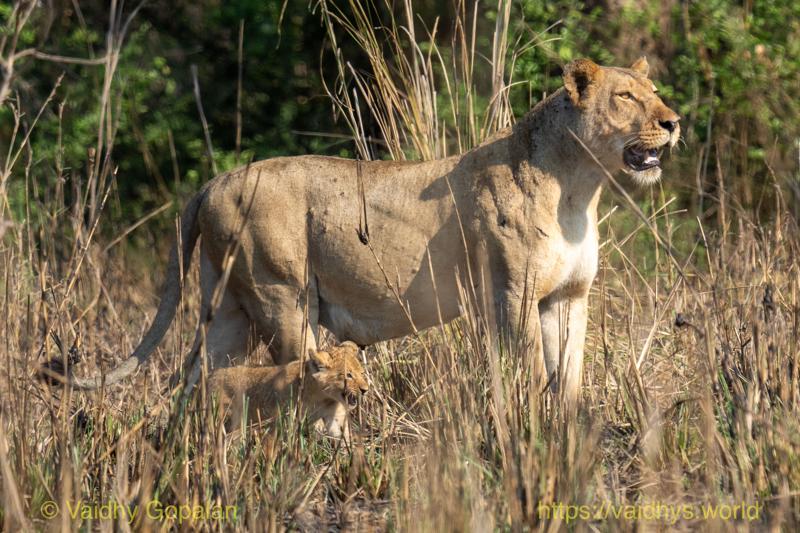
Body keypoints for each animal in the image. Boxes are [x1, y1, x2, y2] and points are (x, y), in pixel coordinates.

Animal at [68, 57, 679, 403]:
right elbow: (529, 372)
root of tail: (213, 181)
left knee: (196, 378)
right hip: (282, 298)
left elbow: (568, 377)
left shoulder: (568, 297)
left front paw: (567, 440)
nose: (674, 122)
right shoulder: (512, 293)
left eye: (654, 93)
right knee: (290, 375)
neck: (578, 185)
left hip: (229, 311)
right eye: (626, 97)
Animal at [208, 342, 368, 438]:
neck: (321, 397)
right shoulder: (286, 419)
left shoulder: (334, 417)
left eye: (361, 373)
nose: (365, 390)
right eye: (348, 375)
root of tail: (211, 376)